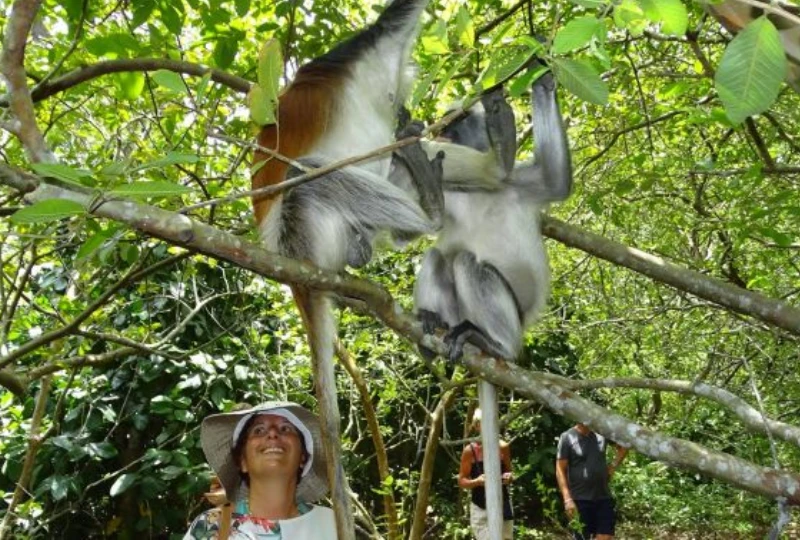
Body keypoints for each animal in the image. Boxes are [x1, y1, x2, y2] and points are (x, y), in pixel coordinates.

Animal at [414, 69, 572, 539]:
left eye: (457, 123)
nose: (442, 134)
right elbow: (430, 222)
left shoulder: (518, 180)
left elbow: (557, 183)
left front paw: (539, 80)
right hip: (458, 312)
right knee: (443, 256)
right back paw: (434, 332)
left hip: (512, 317)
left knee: (465, 261)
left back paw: (494, 344)